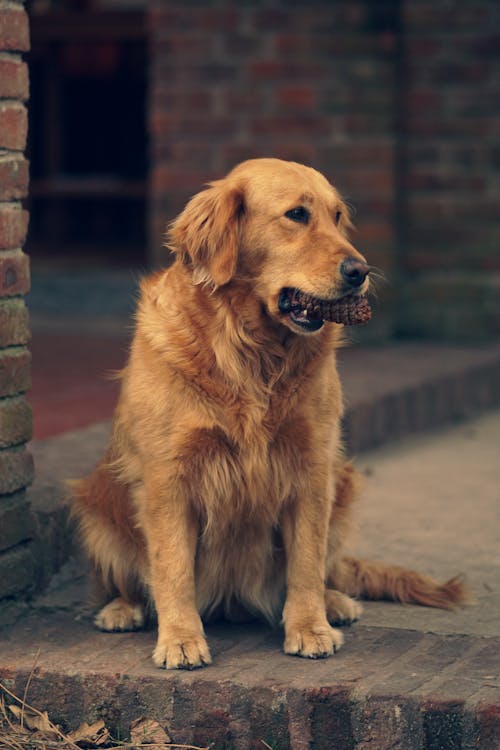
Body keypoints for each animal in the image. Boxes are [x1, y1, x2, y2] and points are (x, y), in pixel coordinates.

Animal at [71, 157, 468, 668]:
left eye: (337, 217)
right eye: (297, 215)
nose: (360, 271)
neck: (252, 353)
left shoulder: (312, 469)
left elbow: (306, 563)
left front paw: (309, 627)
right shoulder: (168, 477)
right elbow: (172, 567)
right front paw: (180, 638)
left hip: (344, 486)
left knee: (328, 569)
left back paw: (334, 603)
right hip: (96, 502)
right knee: (129, 578)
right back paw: (122, 609)